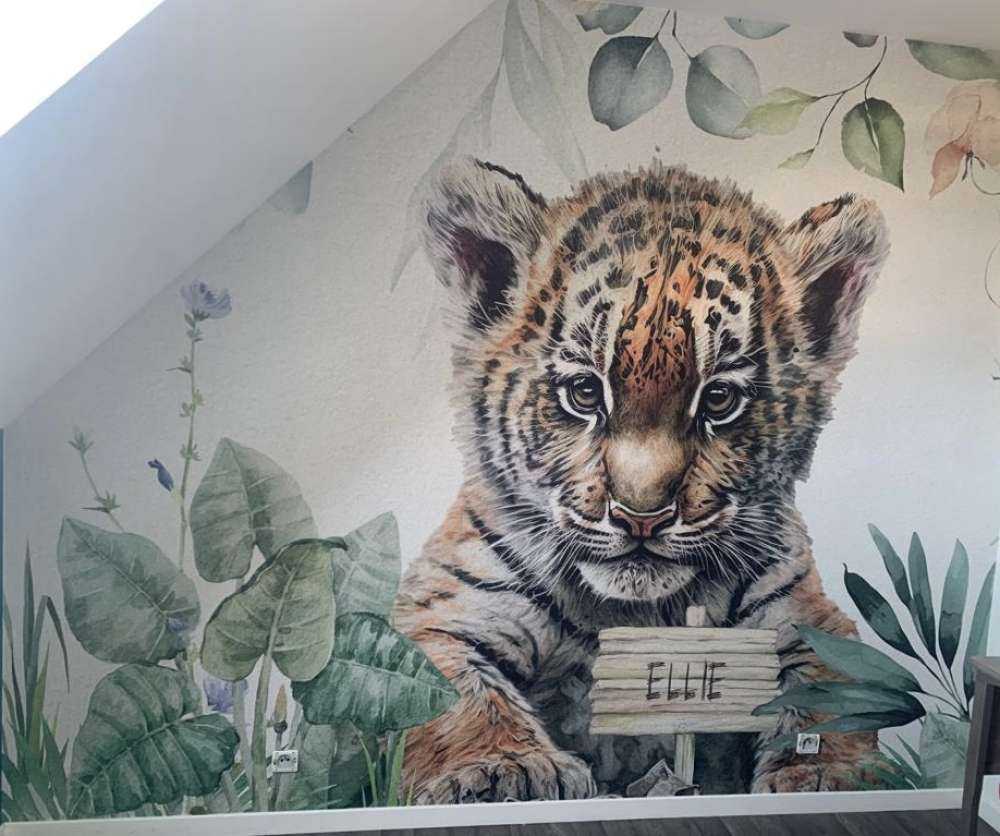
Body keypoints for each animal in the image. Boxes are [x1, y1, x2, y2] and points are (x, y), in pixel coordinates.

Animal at [392, 157, 890, 803]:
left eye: (719, 399)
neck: (636, 615)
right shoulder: (441, 612)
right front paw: (504, 768)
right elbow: (455, 696)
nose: (642, 516)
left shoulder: (803, 618)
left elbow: (830, 692)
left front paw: (827, 776)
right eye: (584, 392)